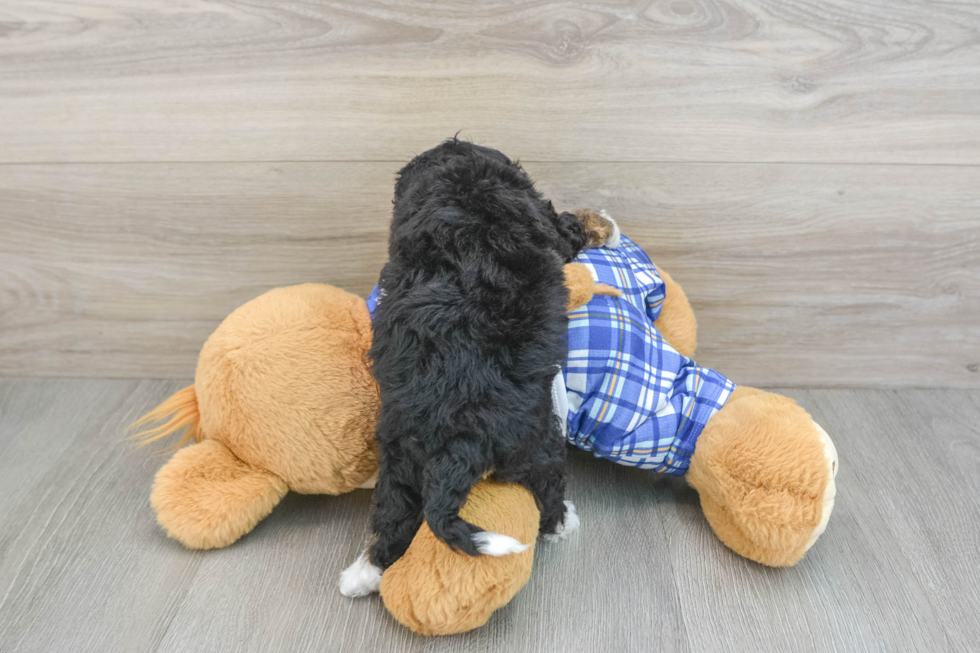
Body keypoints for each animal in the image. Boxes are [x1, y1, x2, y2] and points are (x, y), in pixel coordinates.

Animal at [340, 139, 584, 596]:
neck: (463, 186)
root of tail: (457, 433)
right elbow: (560, 237)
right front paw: (574, 226)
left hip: (399, 454)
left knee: (393, 515)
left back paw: (362, 575)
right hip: (536, 440)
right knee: (547, 484)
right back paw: (563, 523)